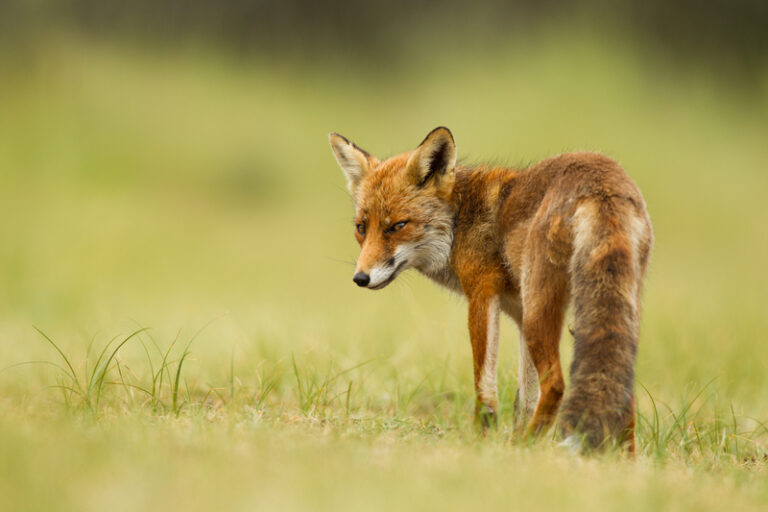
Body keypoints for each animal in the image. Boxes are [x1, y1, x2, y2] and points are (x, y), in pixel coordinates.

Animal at [329, 127, 653, 452]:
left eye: (397, 226)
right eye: (361, 227)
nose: (361, 277)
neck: (460, 220)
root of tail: (602, 180)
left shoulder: (482, 294)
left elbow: (485, 386)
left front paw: (484, 440)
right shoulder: (519, 315)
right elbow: (524, 400)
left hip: (540, 313)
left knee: (556, 384)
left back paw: (527, 445)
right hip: (612, 311)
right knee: (623, 391)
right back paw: (621, 458)